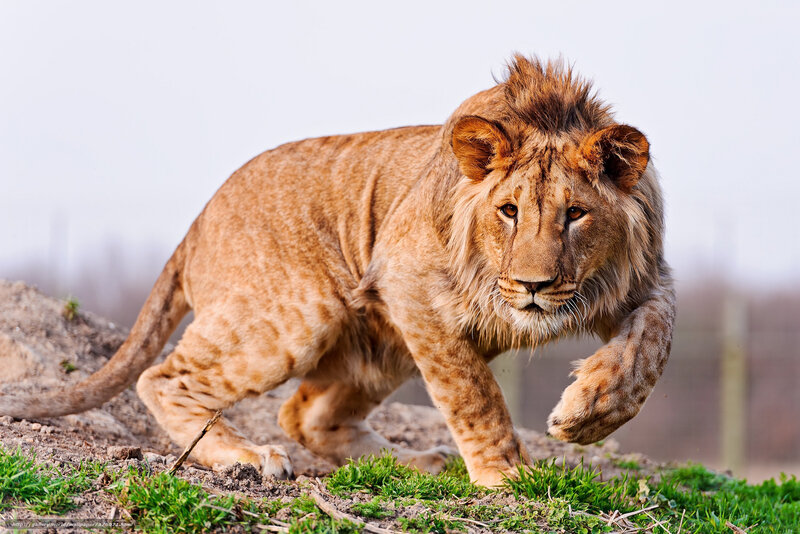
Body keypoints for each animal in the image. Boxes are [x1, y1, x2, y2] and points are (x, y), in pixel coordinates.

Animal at [0, 56, 675, 487]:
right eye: (509, 211)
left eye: (576, 214)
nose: (535, 286)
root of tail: (198, 221)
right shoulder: (409, 282)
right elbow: (474, 393)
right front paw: (505, 477)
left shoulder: (644, 278)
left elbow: (652, 345)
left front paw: (588, 413)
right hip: (304, 312)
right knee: (165, 378)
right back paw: (247, 458)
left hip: (381, 345)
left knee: (304, 415)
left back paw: (416, 462)